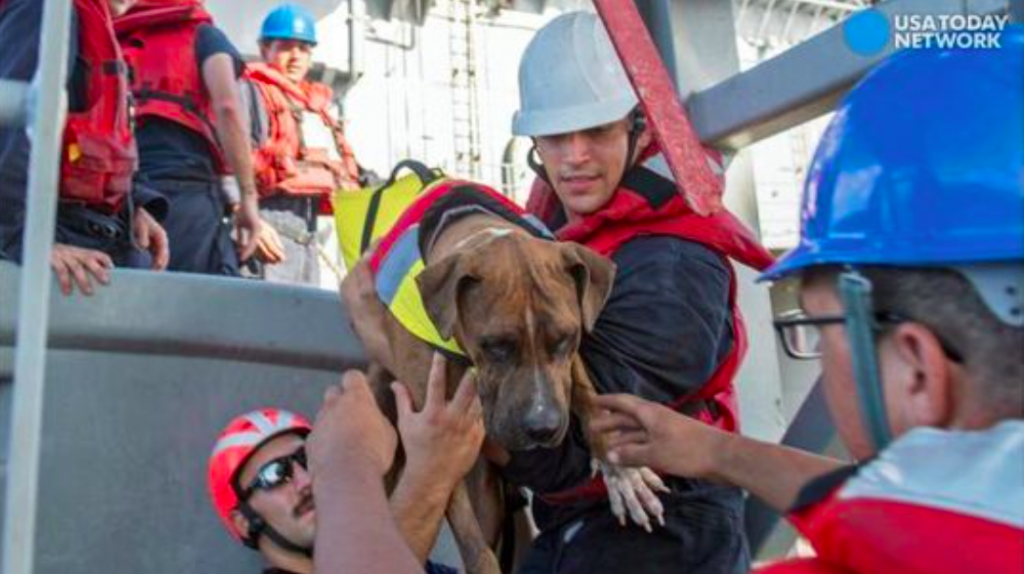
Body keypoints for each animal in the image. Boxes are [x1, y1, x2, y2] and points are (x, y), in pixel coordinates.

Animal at [344, 204, 663, 568]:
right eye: (496, 346)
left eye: (565, 338)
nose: (542, 427)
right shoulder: (434, 432)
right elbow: (469, 534)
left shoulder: (570, 361)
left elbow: (590, 400)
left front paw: (622, 471)